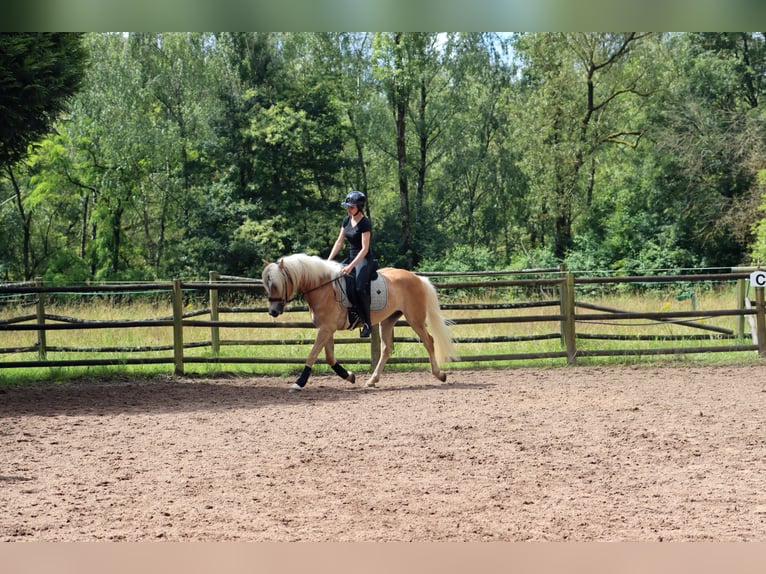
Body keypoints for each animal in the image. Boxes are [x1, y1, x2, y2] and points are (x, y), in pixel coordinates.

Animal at [264, 254, 456, 394]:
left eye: (277, 284)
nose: (273, 311)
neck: (322, 287)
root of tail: (417, 278)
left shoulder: (326, 329)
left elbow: (312, 355)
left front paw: (298, 383)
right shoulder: (326, 329)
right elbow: (329, 357)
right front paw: (349, 376)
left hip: (415, 319)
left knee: (429, 341)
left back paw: (440, 375)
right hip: (388, 320)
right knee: (387, 348)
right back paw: (372, 380)